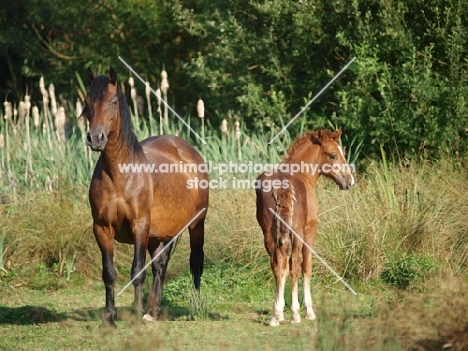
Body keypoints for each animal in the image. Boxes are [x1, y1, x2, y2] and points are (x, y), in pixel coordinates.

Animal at [82, 67, 208, 328]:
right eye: (87, 102)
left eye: (113, 101)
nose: (95, 138)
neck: (119, 175)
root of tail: (188, 151)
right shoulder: (102, 228)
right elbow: (109, 273)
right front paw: (110, 319)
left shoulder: (139, 225)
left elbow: (137, 272)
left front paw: (136, 316)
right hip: (160, 233)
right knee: (160, 265)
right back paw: (153, 311)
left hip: (196, 225)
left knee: (195, 262)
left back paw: (193, 308)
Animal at [256, 129, 354, 328]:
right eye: (333, 155)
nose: (349, 182)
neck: (301, 174)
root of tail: (282, 186)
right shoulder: (310, 230)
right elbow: (306, 266)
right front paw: (308, 311)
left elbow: (283, 268)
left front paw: (279, 312)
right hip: (297, 233)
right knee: (295, 265)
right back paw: (296, 314)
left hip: (268, 234)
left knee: (277, 265)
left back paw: (274, 317)